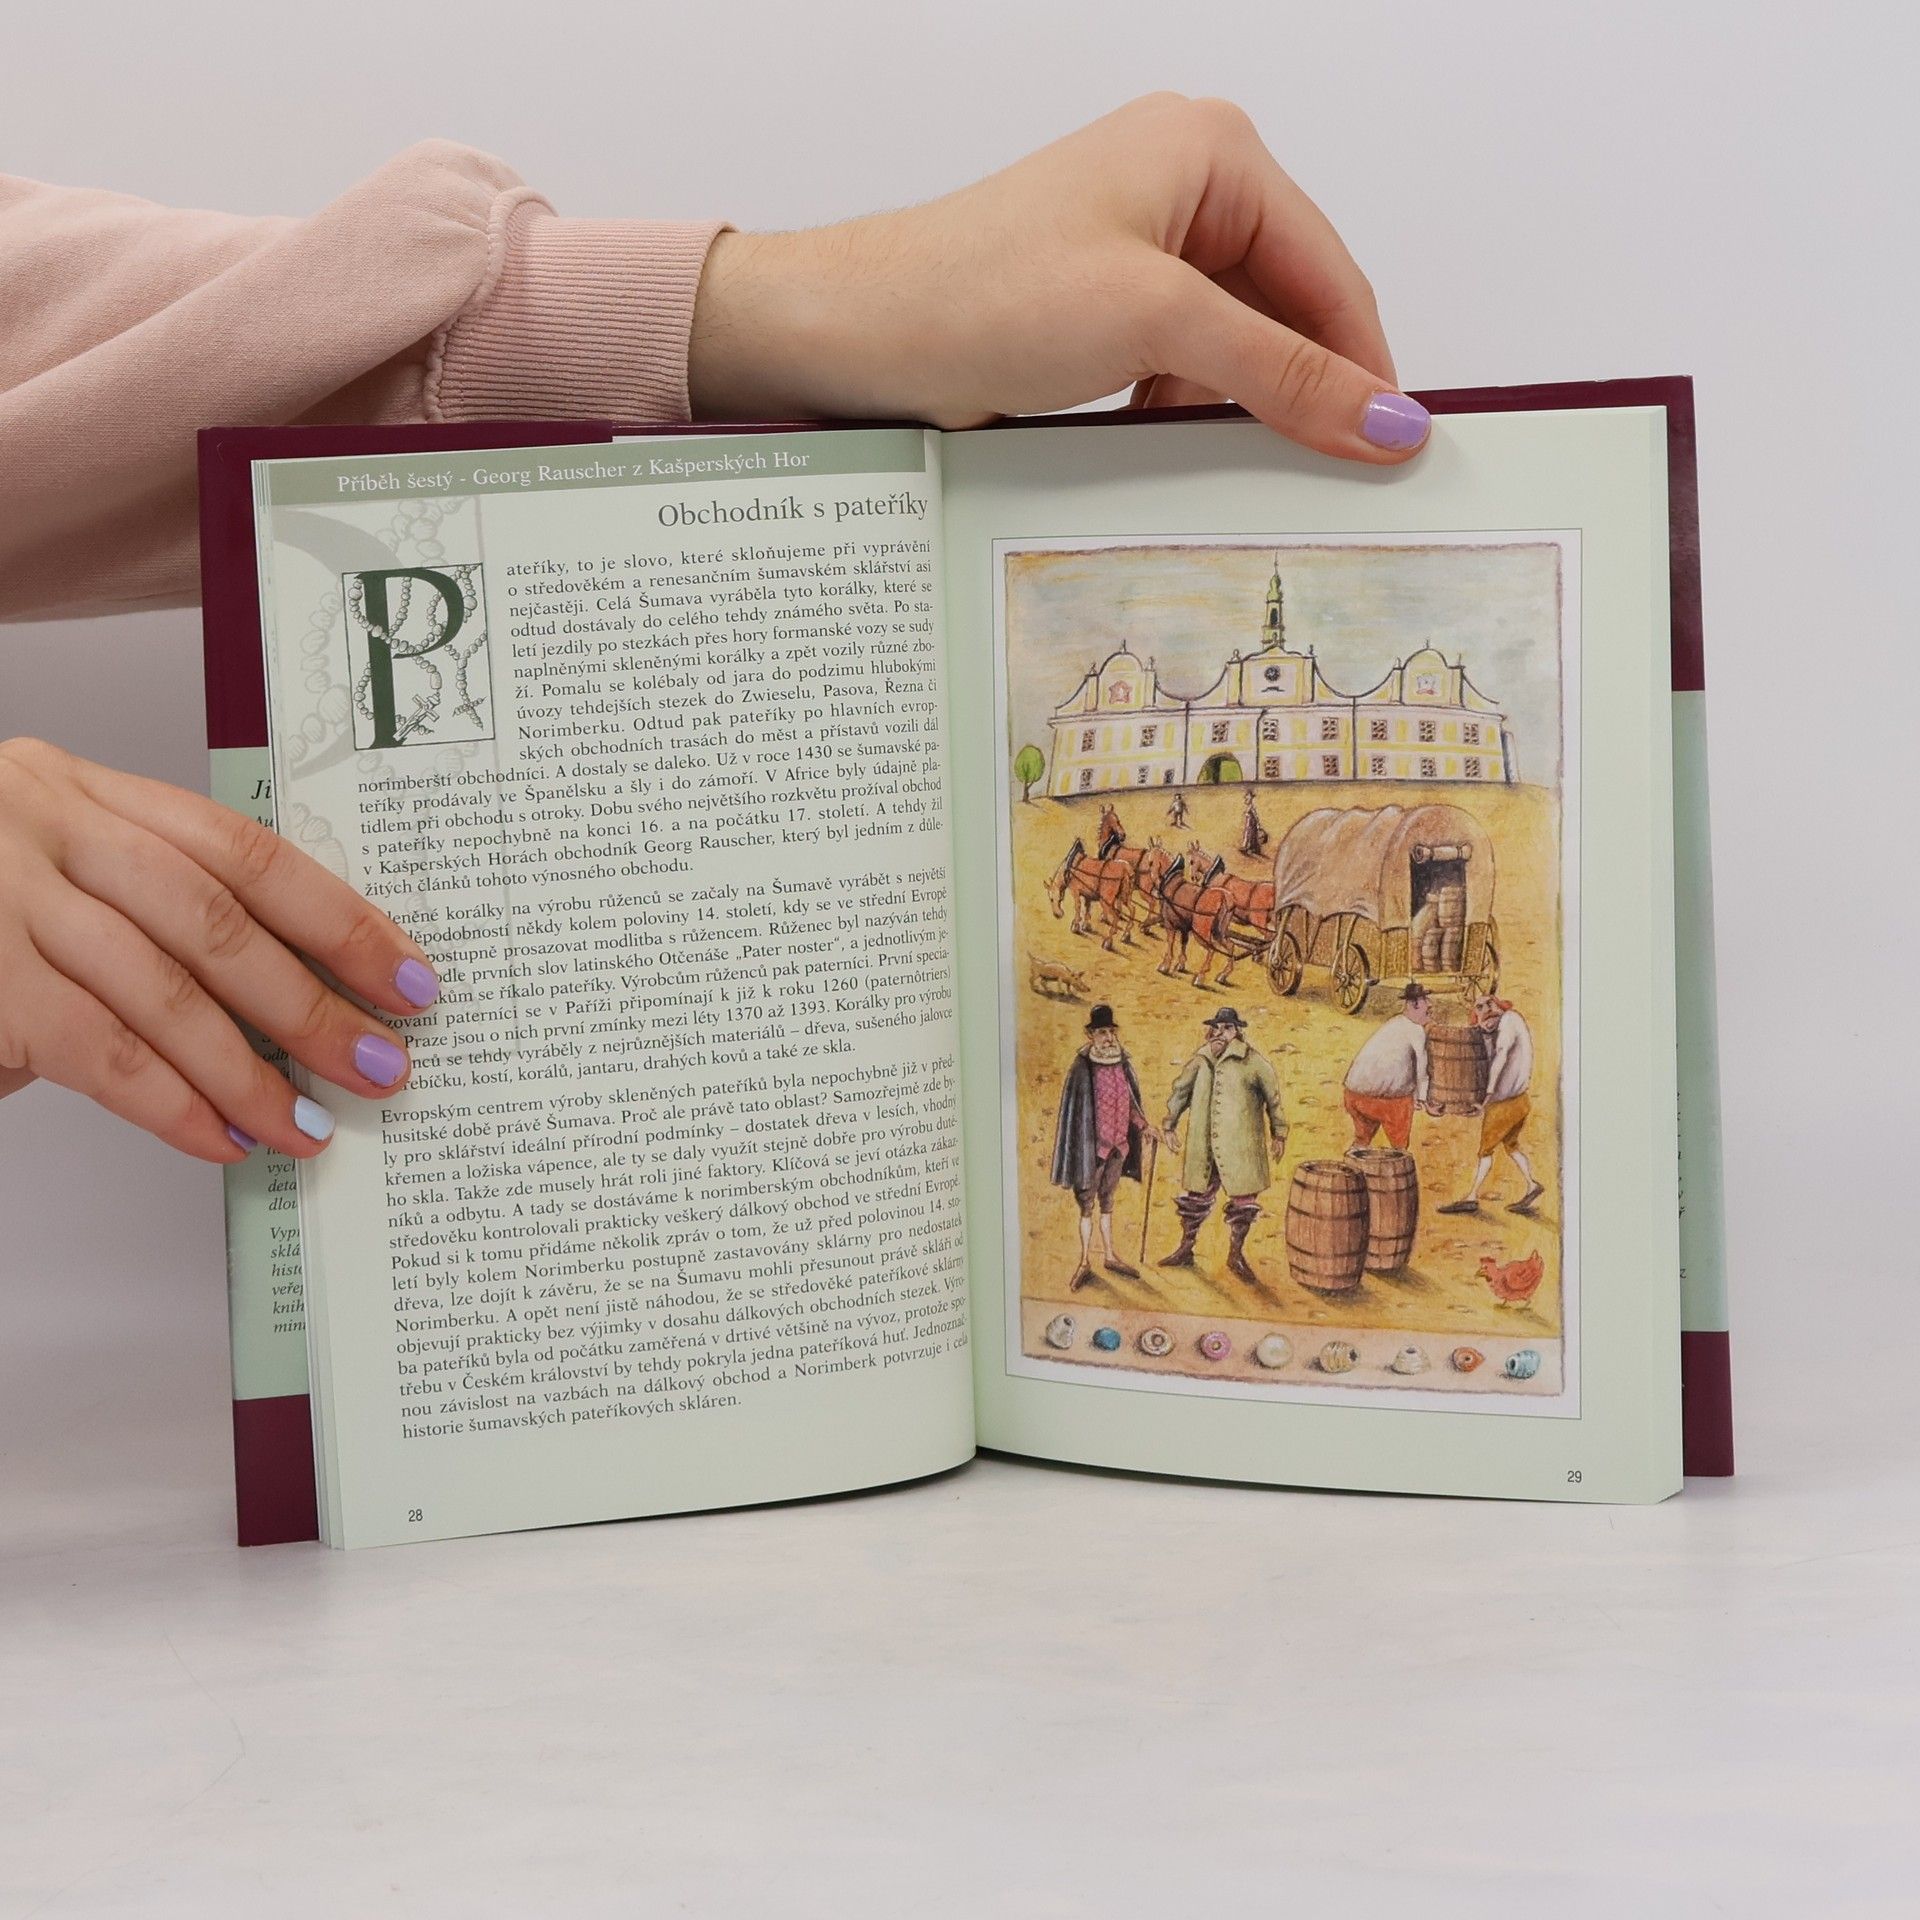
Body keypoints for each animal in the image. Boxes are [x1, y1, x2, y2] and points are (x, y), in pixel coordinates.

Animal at [1157, 851, 1245, 987]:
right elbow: (1183, 943)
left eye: (1151, 862)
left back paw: (1200, 977)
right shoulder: (1185, 928)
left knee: (1212, 949)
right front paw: (1180, 964)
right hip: (1219, 932)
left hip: (1201, 932)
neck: (1172, 883)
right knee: (1230, 946)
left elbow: (1170, 943)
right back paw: (1223, 975)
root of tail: (1224, 898)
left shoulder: (1170, 924)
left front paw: (1165, 966)